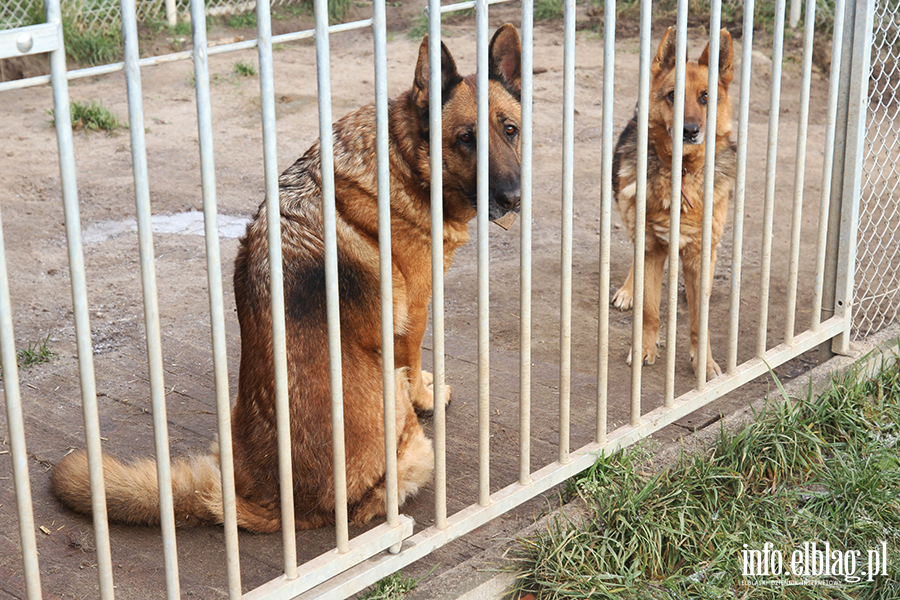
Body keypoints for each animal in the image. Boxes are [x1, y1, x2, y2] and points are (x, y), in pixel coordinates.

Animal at [49, 25, 524, 536]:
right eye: (465, 139)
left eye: (509, 130)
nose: (514, 198)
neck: (403, 154)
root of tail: (282, 504)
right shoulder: (414, 315)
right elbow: (414, 362)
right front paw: (427, 396)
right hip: (414, 446)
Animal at [612, 27, 740, 380]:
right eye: (672, 95)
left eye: (706, 97)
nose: (690, 131)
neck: (681, 172)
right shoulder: (651, 248)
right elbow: (649, 310)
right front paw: (644, 348)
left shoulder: (699, 254)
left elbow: (700, 318)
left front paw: (704, 363)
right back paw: (628, 290)